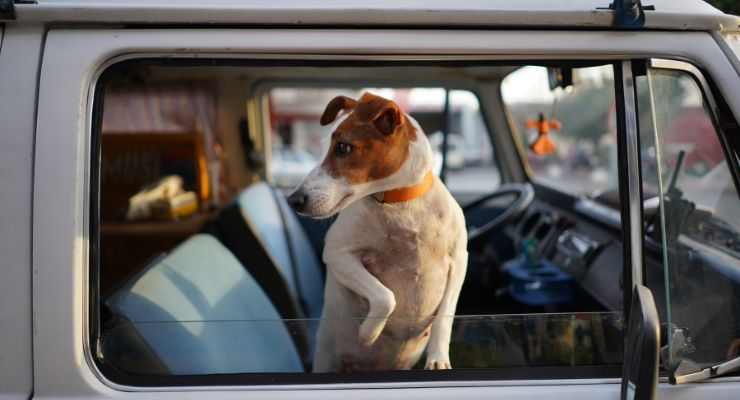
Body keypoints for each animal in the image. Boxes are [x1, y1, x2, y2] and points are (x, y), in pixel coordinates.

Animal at [286, 91, 466, 372]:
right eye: (324, 145)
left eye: (343, 148)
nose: (293, 200)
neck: (400, 204)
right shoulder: (337, 255)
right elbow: (385, 297)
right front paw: (368, 333)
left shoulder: (459, 261)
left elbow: (445, 316)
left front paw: (437, 359)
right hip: (326, 361)